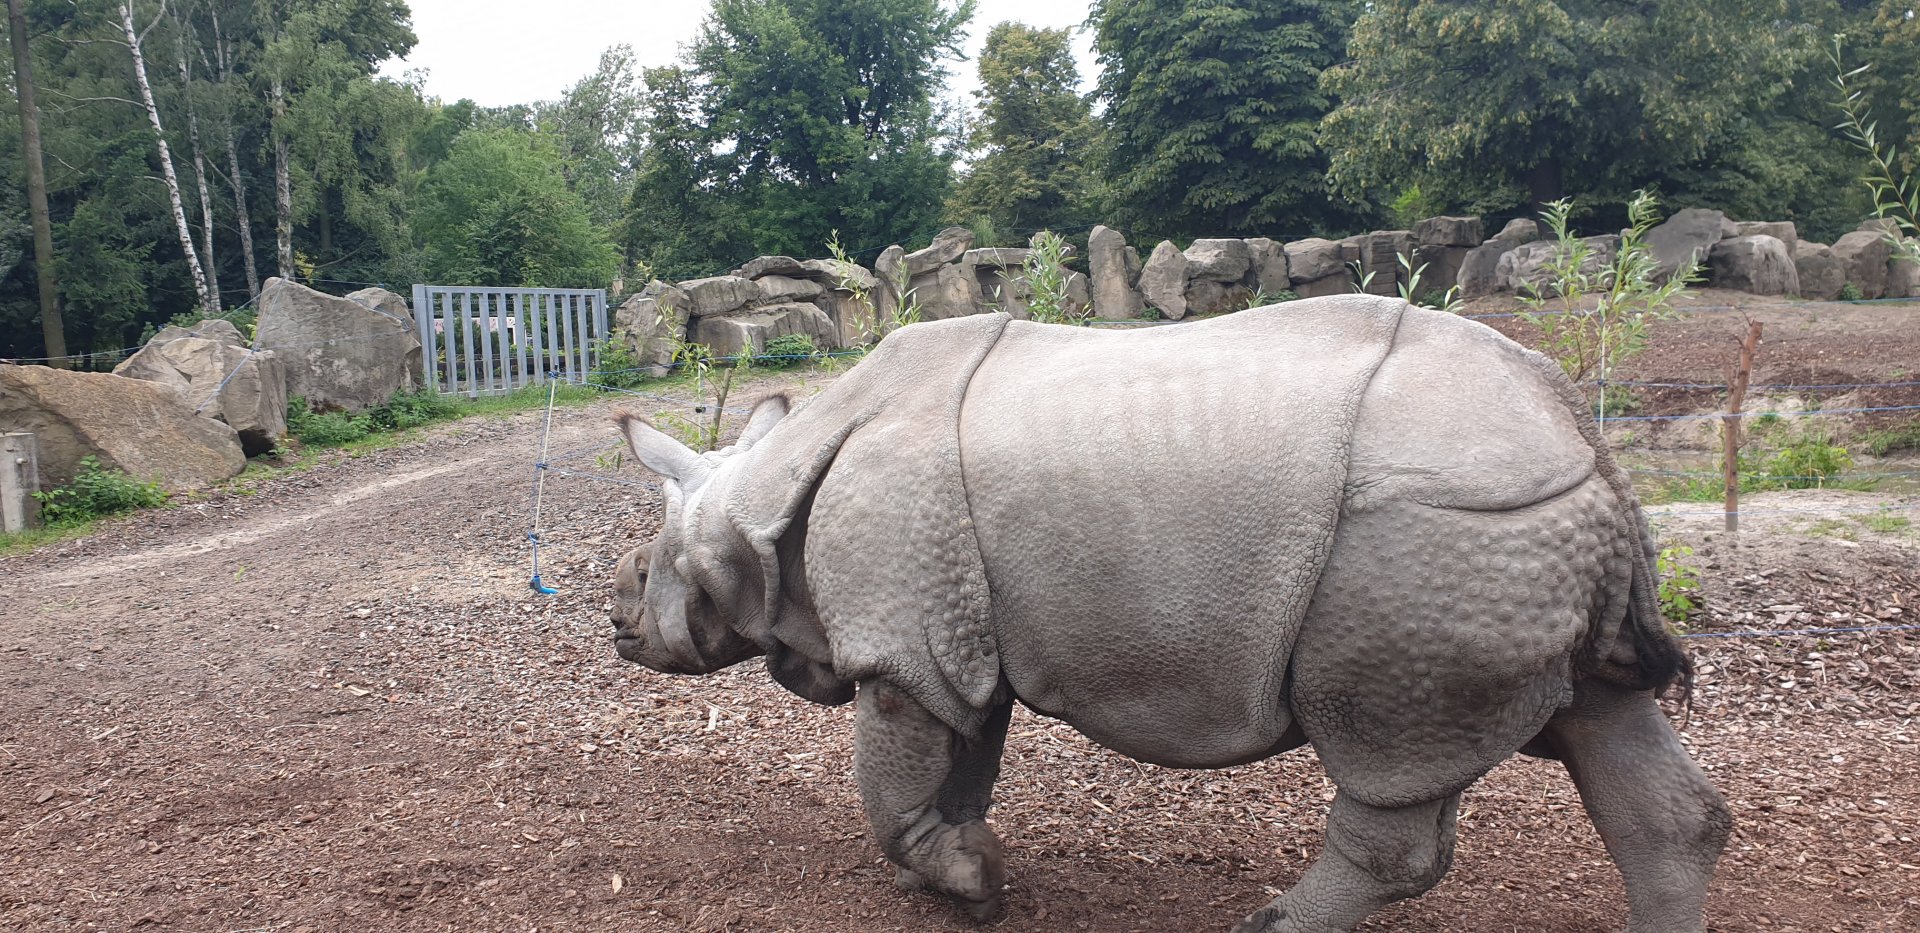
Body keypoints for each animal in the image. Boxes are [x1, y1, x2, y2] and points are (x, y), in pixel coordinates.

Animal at [607, 295, 1730, 933]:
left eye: (653, 566)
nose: (614, 618)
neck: (751, 505)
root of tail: (1580, 430)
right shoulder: (958, 638)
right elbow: (961, 765)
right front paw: (962, 881)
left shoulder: (903, 652)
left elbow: (891, 789)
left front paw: (969, 883)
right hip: (1518, 532)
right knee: (1604, 722)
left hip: (1434, 539)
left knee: (1390, 757)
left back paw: (1269, 926)